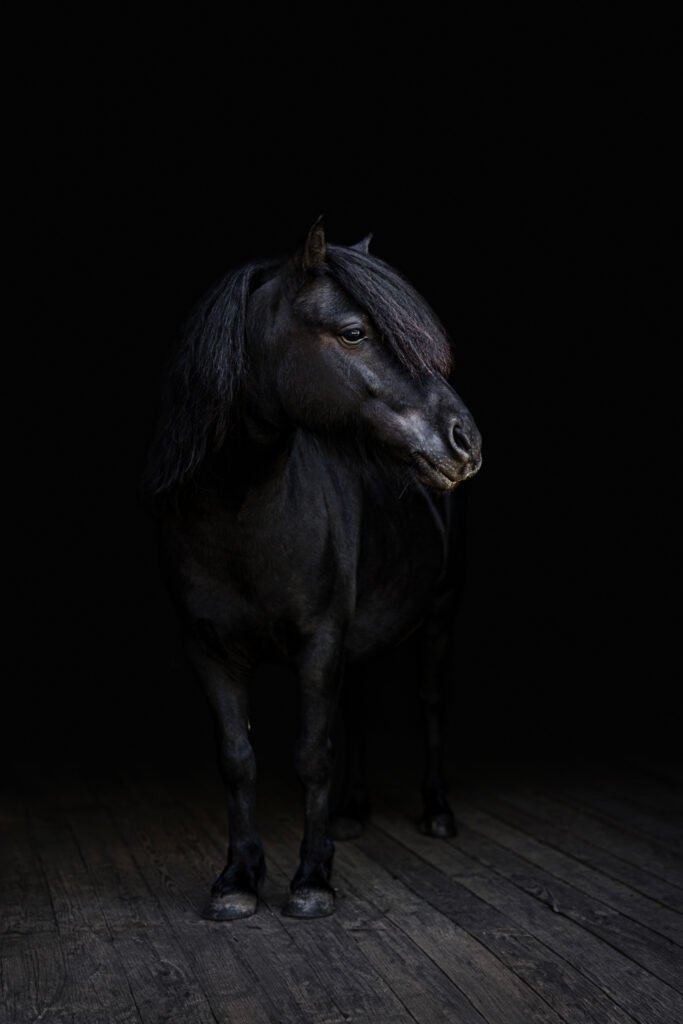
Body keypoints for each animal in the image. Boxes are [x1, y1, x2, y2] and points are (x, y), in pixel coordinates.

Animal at [143, 220, 482, 920]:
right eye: (353, 332)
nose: (465, 440)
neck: (240, 513)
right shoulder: (207, 648)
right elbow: (237, 757)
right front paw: (238, 879)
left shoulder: (319, 641)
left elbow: (311, 755)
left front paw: (312, 879)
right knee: (358, 707)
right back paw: (353, 813)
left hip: (439, 614)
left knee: (431, 704)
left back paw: (436, 812)